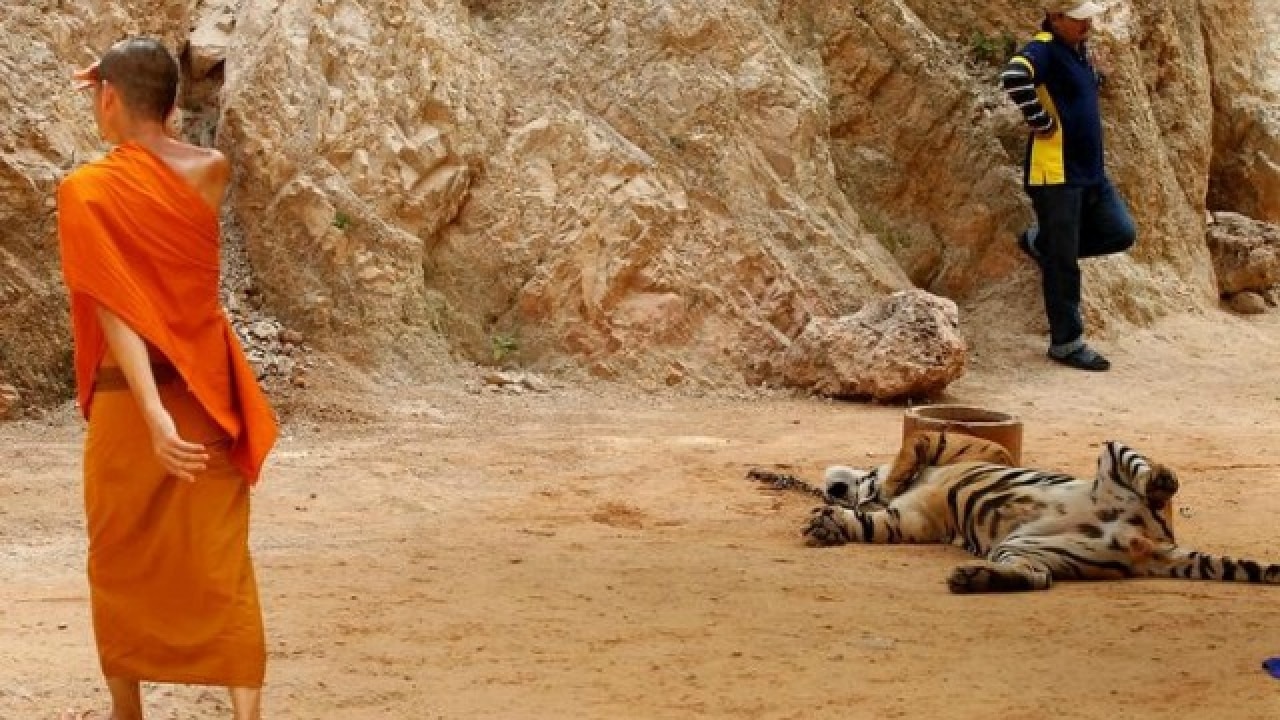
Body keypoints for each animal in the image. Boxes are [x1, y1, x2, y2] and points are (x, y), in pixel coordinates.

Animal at [798, 435, 1280, 591]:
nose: (829, 480)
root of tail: (1154, 543)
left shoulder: (980, 449)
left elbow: (916, 442)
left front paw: (889, 478)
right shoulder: (913, 521)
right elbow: (873, 522)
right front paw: (826, 524)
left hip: (1113, 452)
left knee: (1152, 481)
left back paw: (1161, 480)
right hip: (1027, 547)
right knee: (1039, 578)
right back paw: (974, 578)